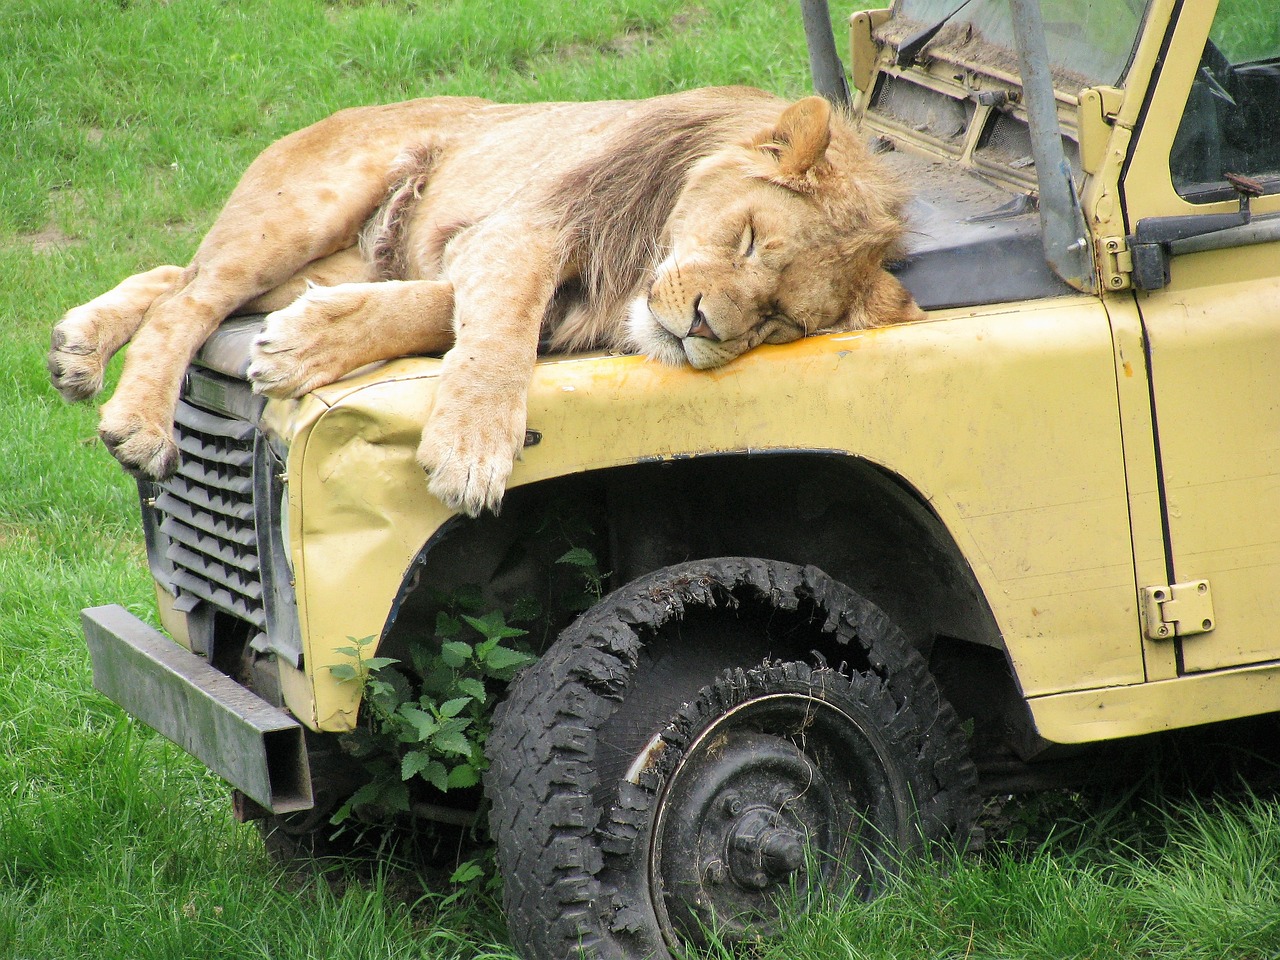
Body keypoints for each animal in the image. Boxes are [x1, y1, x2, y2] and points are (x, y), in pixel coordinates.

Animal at [47, 88, 921, 519]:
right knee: (191, 299)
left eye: (780, 322)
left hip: (332, 255)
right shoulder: (524, 229)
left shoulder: (509, 267)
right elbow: (503, 332)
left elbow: (434, 312)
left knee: (180, 276)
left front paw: (305, 344)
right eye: (747, 239)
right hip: (308, 210)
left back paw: (78, 345)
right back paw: (138, 423)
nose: (705, 327)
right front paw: (471, 455)